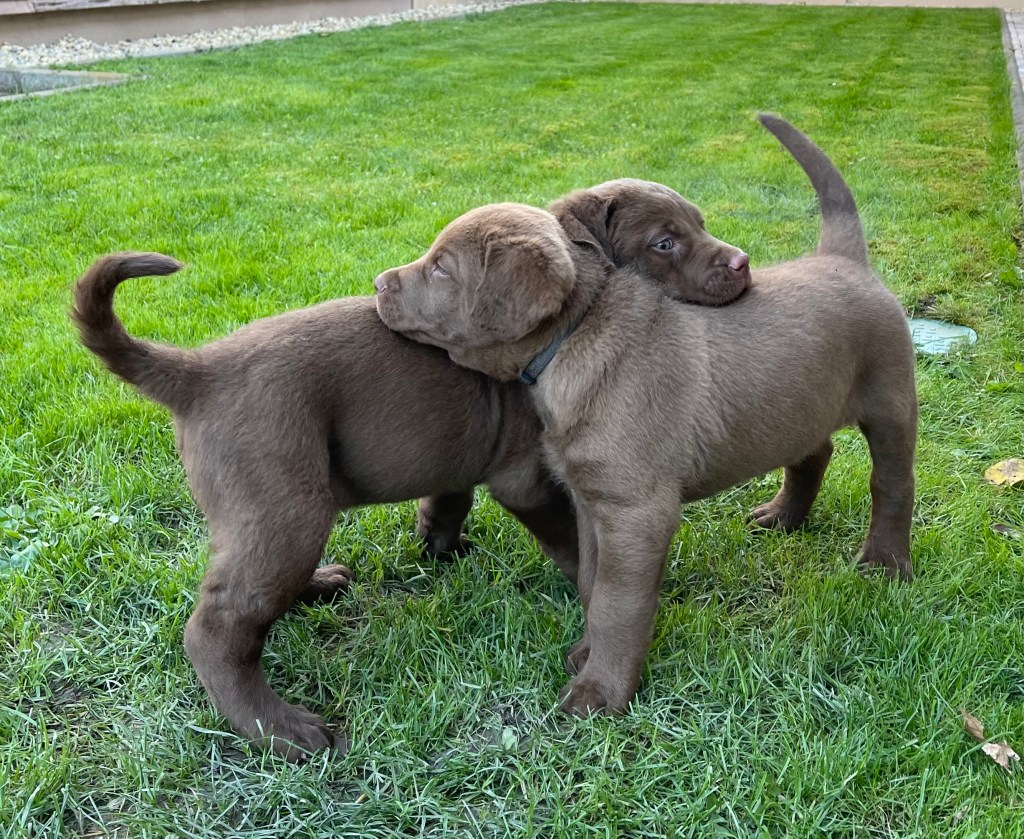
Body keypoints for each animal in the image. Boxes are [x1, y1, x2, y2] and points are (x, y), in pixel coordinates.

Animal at [374, 114, 917, 718]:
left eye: (441, 269)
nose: (379, 283)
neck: (575, 336)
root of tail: (843, 258)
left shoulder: (636, 510)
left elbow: (617, 603)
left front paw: (600, 692)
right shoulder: (591, 500)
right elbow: (591, 583)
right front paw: (586, 654)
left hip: (891, 400)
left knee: (892, 484)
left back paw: (885, 564)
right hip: (799, 404)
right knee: (814, 449)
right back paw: (784, 516)